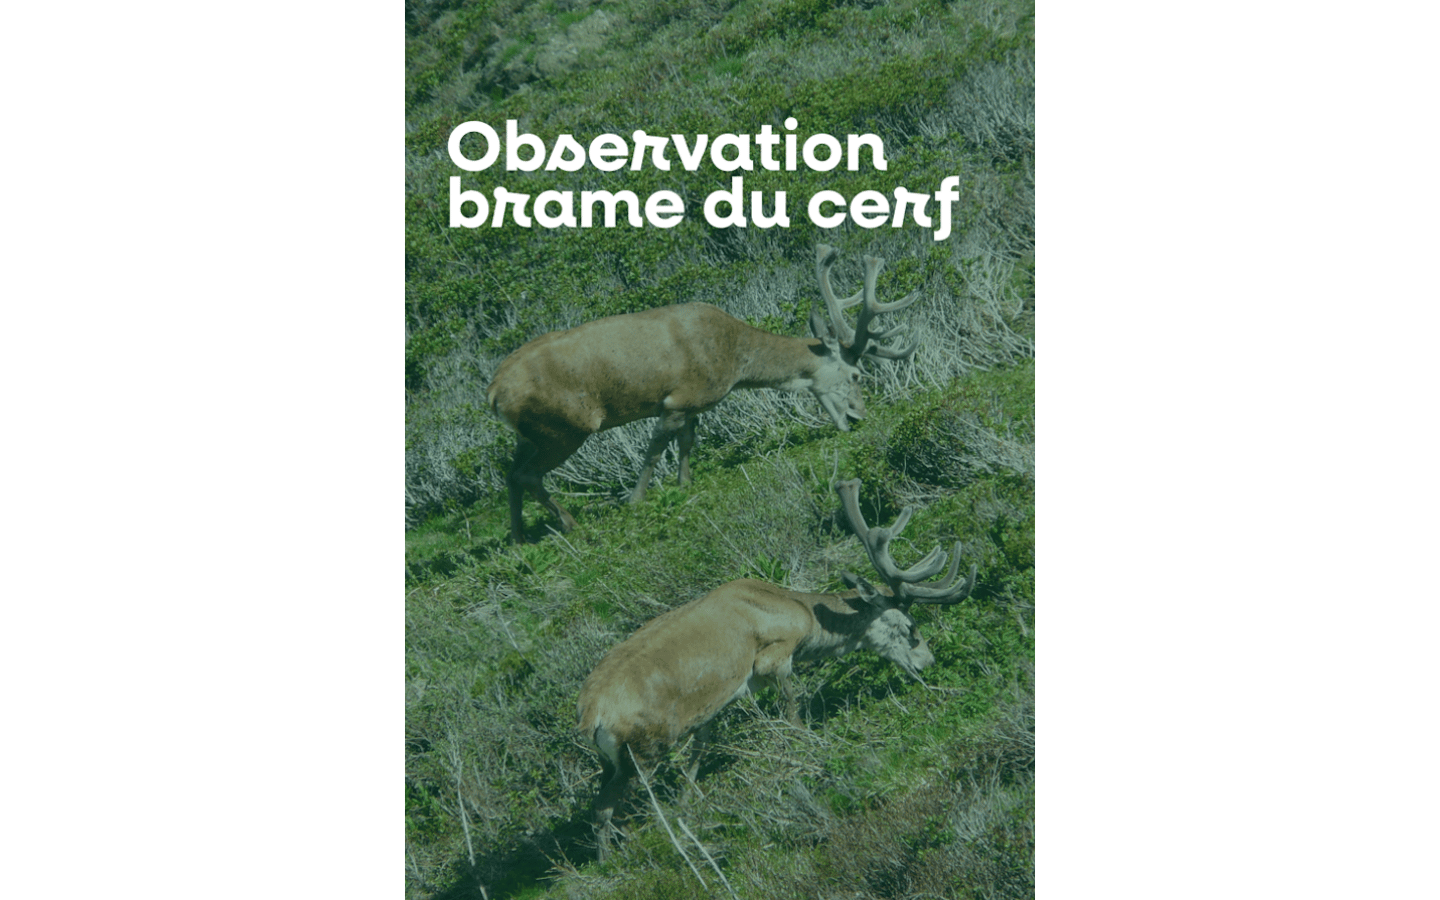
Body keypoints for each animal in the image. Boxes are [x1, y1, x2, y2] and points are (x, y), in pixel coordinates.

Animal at [487, 245, 920, 542]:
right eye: (856, 374)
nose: (860, 416)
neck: (733, 361)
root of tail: (493, 393)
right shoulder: (677, 399)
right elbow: (654, 451)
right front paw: (637, 499)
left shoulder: (693, 405)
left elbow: (686, 443)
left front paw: (684, 484)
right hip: (564, 426)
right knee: (526, 473)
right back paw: (568, 522)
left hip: (532, 433)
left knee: (510, 473)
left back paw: (519, 537)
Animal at [574, 478, 978, 861]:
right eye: (911, 627)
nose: (928, 661)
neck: (800, 613)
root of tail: (592, 713)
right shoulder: (774, 655)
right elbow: (792, 708)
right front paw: (806, 747)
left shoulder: (714, 704)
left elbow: (700, 750)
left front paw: (689, 803)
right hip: (644, 749)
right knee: (606, 809)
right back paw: (618, 859)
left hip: (614, 758)